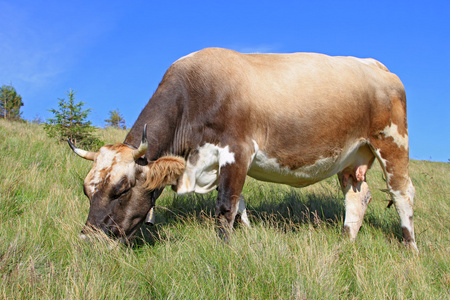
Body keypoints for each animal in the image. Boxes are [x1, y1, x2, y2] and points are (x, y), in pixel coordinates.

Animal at [67, 47, 418, 251]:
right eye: (87, 191)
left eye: (122, 190)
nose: (88, 240)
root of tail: (377, 66)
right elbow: (239, 205)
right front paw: (246, 237)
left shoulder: (237, 150)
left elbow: (225, 205)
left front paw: (224, 248)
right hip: (350, 156)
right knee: (358, 196)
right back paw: (345, 244)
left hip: (391, 142)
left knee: (403, 193)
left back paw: (411, 249)